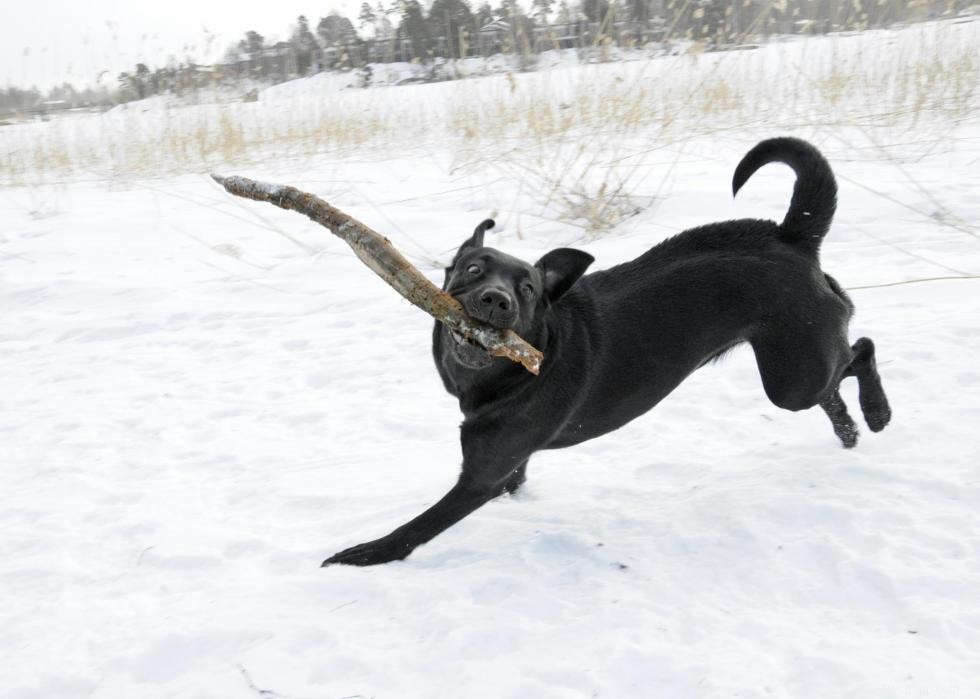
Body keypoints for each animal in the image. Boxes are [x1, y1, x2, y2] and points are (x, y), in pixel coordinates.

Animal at [326, 138, 892, 568]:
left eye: (527, 289)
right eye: (472, 269)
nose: (495, 300)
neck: (514, 372)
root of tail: (793, 237)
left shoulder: (480, 478)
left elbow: (416, 528)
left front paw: (360, 555)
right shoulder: (509, 466)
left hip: (792, 374)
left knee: (860, 351)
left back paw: (877, 413)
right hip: (797, 371)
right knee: (836, 382)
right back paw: (850, 432)